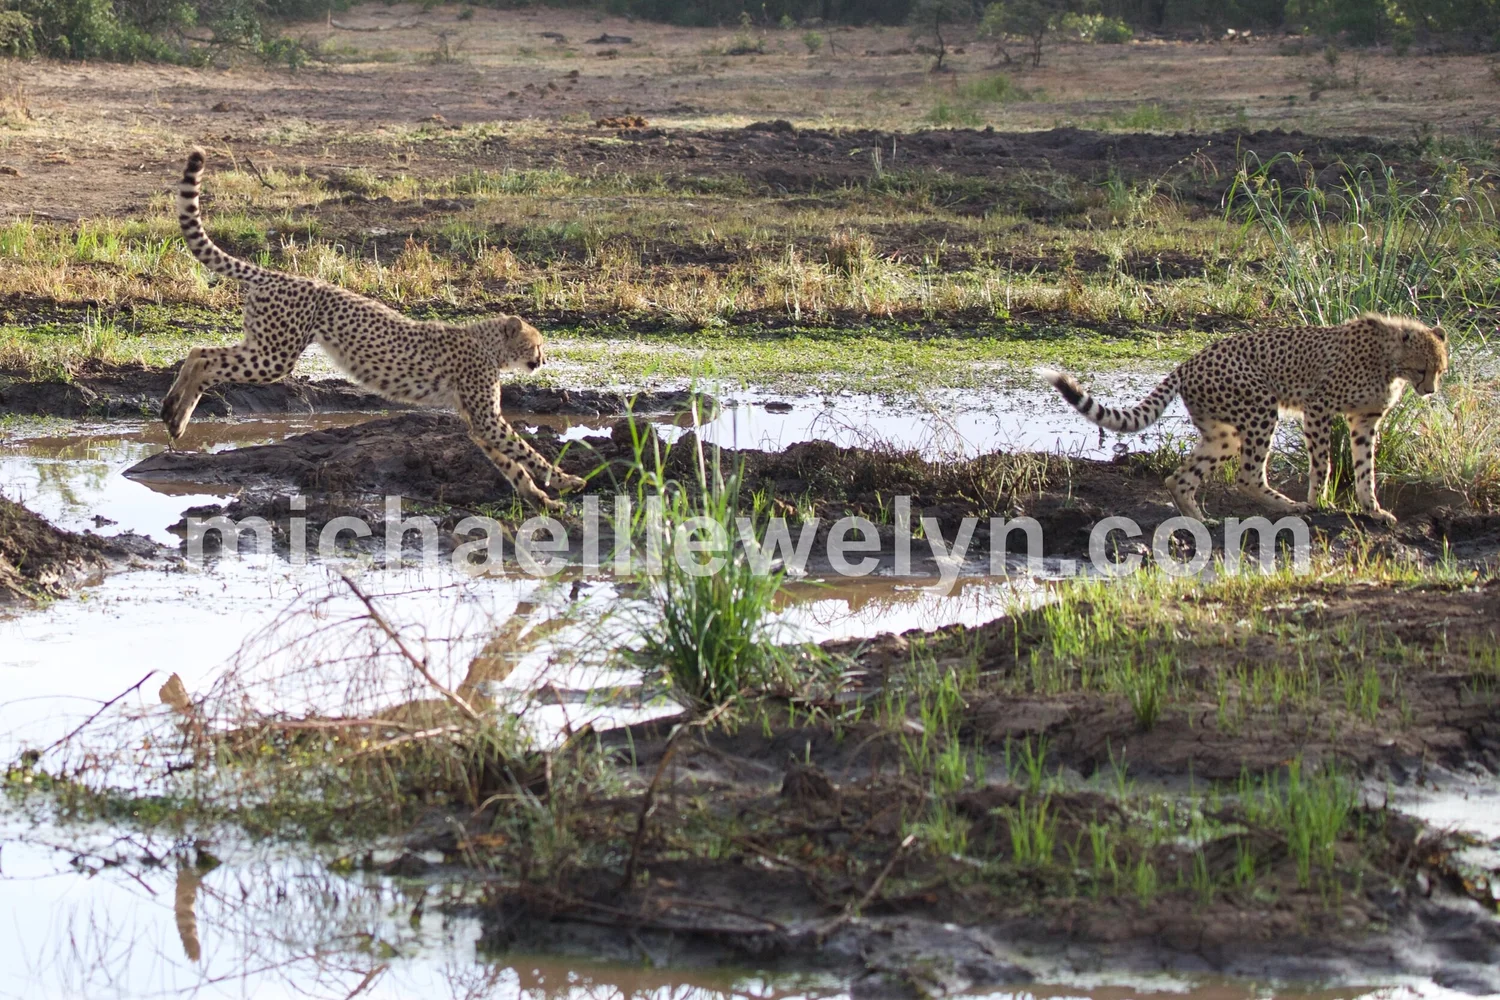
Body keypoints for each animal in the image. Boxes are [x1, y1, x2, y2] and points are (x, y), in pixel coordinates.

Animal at [161, 147, 586, 511]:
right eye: (536, 344)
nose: (542, 361)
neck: (488, 344)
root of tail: (279, 275)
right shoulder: (485, 416)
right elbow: (526, 451)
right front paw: (567, 480)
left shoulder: (479, 422)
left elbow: (511, 463)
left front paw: (540, 498)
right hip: (274, 355)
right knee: (204, 358)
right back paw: (175, 415)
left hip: (265, 346)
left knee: (198, 351)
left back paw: (172, 414)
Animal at [1040, 313, 1448, 528]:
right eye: (1422, 368)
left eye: (1440, 369)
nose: (1430, 390)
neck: (1390, 360)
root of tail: (1188, 361)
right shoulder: (1317, 408)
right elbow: (1323, 462)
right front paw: (1321, 501)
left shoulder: (1364, 421)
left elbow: (1365, 467)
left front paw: (1372, 508)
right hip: (1261, 408)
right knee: (1248, 477)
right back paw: (1291, 506)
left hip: (1224, 434)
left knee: (1180, 477)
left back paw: (1201, 521)